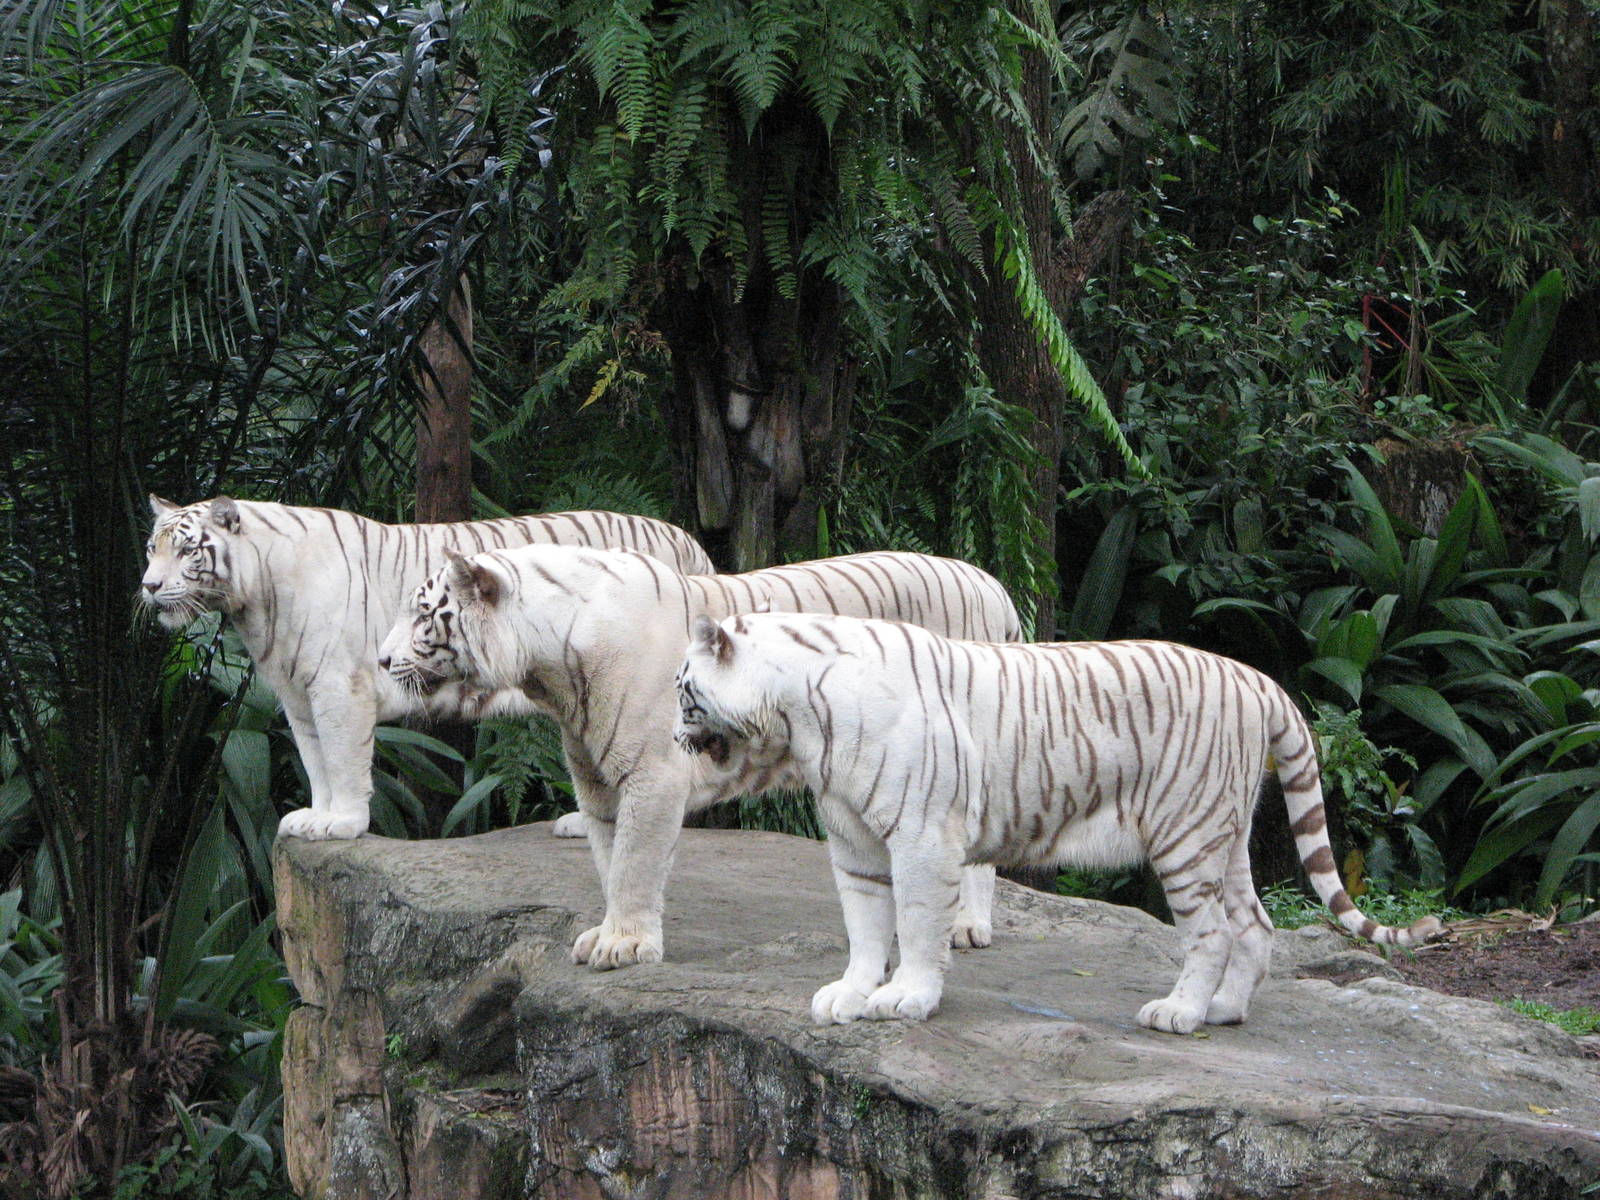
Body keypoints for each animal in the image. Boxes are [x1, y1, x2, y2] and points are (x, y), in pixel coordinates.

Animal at [140, 495, 715, 840]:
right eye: (151, 548)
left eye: (187, 550)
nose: (147, 585)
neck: (254, 602)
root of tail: (688, 540)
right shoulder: (297, 696)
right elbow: (315, 761)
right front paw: (317, 817)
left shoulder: (337, 688)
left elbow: (342, 760)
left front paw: (344, 823)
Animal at [376, 544, 1021, 967]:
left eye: (422, 613)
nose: (380, 661)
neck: (550, 671)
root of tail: (994, 586)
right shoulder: (596, 780)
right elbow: (609, 858)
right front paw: (608, 932)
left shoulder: (652, 772)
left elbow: (635, 861)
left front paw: (625, 944)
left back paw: (965, 925)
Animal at [672, 612, 1444, 1035]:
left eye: (683, 692)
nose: (675, 737)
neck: (800, 721)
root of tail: (1258, 680)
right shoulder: (855, 841)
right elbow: (866, 925)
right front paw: (852, 994)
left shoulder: (922, 837)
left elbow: (917, 926)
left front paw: (907, 998)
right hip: (1222, 837)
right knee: (1255, 924)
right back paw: (1224, 1009)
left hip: (1185, 835)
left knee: (1215, 932)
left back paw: (1181, 1014)